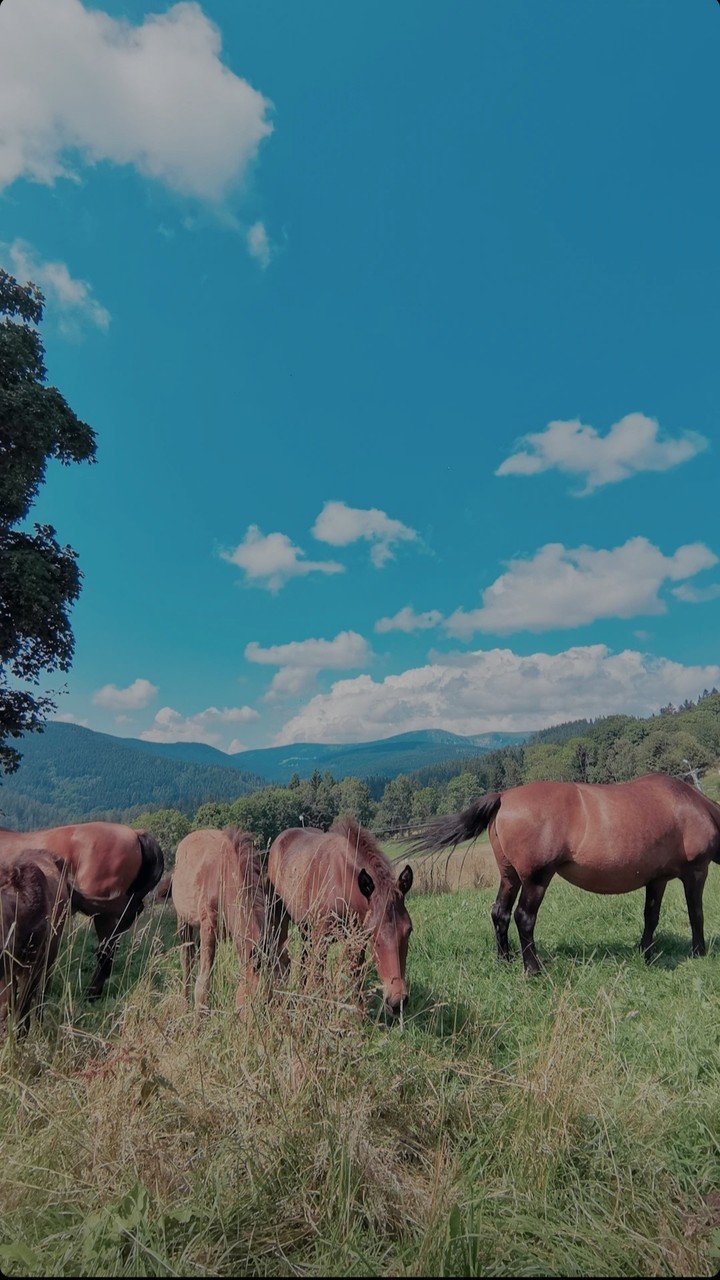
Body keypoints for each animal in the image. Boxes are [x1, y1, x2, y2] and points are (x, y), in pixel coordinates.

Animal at [171, 826, 272, 1013]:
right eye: (251, 1002)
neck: (224, 877)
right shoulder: (208, 927)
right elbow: (202, 985)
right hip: (183, 921)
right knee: (186, 960)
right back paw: (184, 1004)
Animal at [267, 815, 414, 1016]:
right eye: (374, 937)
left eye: (409, 930)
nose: (397, 1001)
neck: (342, 882)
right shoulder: (322, 938)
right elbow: (319, 976)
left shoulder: (356, 940)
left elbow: (355, 977)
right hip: (283, 918)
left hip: (306, 927)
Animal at [411, 773, 720, 974]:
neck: (691, 806)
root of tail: (503, 797)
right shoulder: (696, 871)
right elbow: (696, 913)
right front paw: (699, 952)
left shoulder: (657, 879)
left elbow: (651, 917)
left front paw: (646, 954)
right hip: (536, 879)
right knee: (524, 917)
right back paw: (533, 969)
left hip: (510, 877)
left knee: (500, 913)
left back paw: (504, 961)